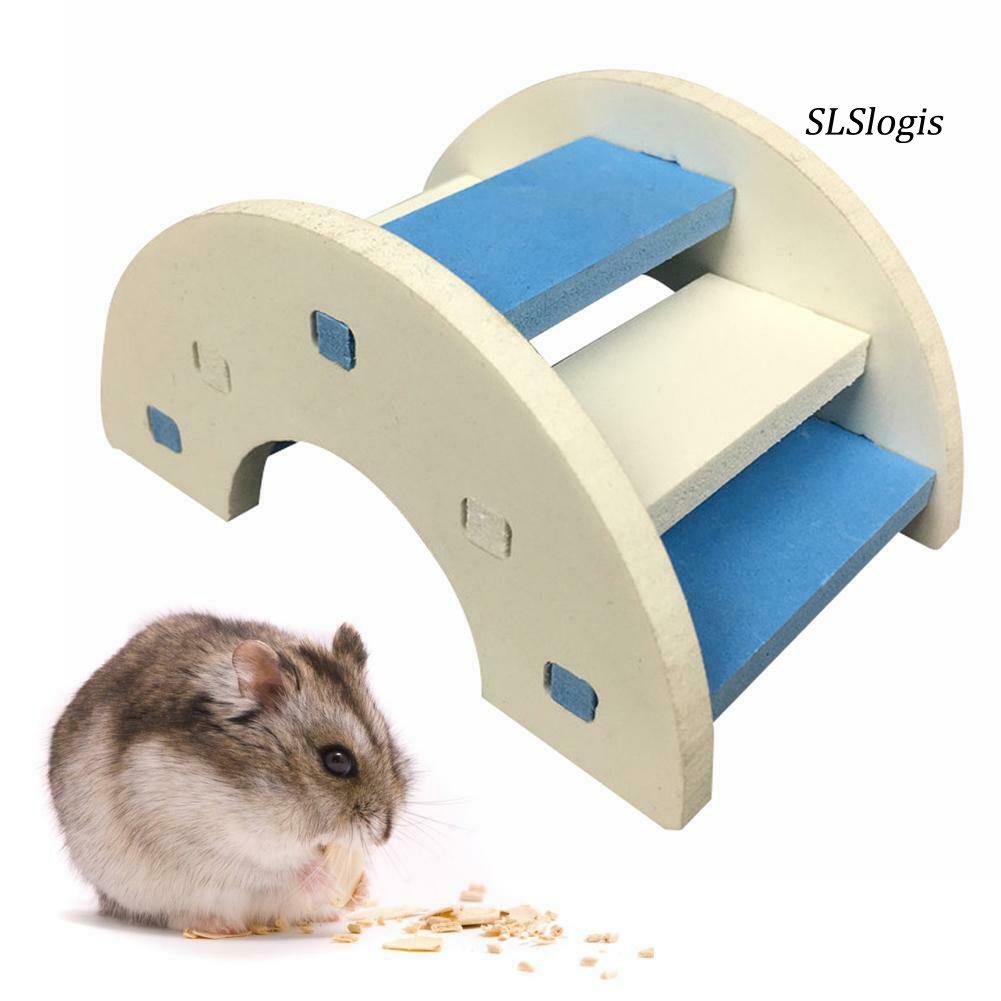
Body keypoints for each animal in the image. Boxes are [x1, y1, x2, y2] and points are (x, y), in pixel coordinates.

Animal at [49, 613, 412, 932]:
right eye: (337, 761)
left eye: (390, 744)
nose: (384, 835)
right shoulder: (206, 840)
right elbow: (274, 869)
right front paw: (325, 878)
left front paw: (360, 889)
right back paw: (216, 925)